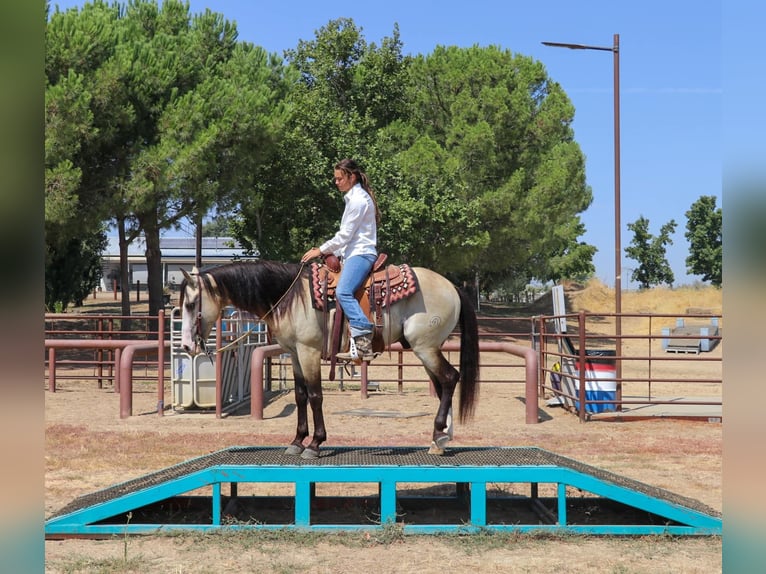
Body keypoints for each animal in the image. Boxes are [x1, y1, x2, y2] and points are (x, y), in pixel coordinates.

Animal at [179, 260, 479, 458]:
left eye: (191, 304)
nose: (185, 346)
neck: (289, 296)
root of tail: (452, 286)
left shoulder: (309, 351)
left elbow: (315, 395)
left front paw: (315, 444)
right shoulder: (294, 353)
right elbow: (300, 395)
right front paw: (297, 440)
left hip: (424, 347)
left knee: (450, 378)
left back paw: (440, 434)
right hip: (427, 348)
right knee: (441, 385)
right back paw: (439, 439)